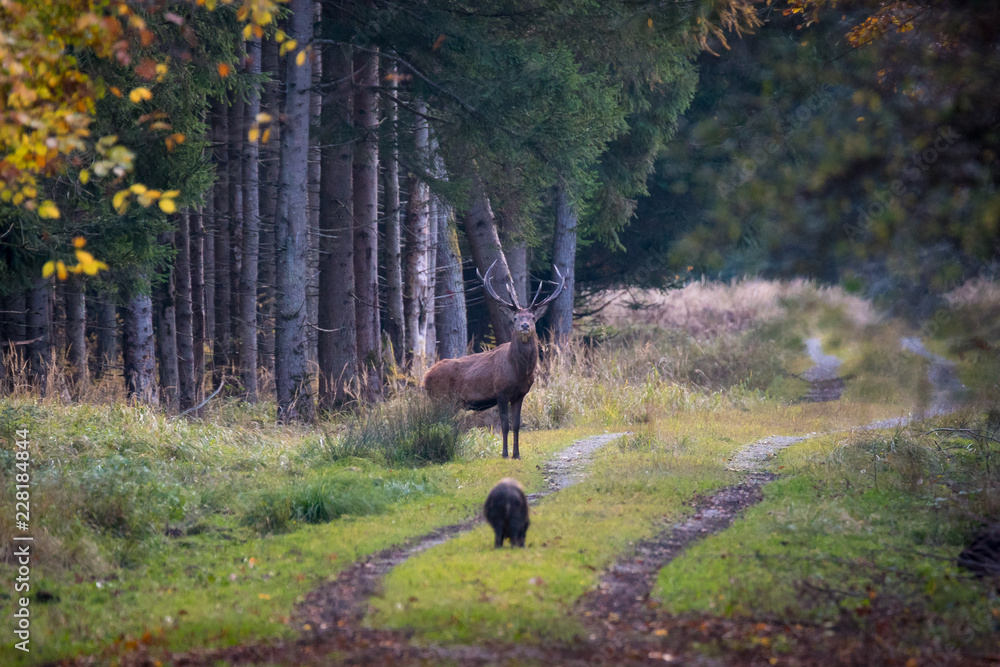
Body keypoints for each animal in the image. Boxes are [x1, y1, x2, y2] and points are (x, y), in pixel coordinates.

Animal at [423, 260, 565, 459]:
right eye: (515, 317)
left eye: (533, 317)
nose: (525, 326)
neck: (518, 371)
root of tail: (425, 377)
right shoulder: (500, 391)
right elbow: (504, 425)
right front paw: (505, 454)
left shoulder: (520, 394)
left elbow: (516, 424)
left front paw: (517, 454)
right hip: (441, 399)